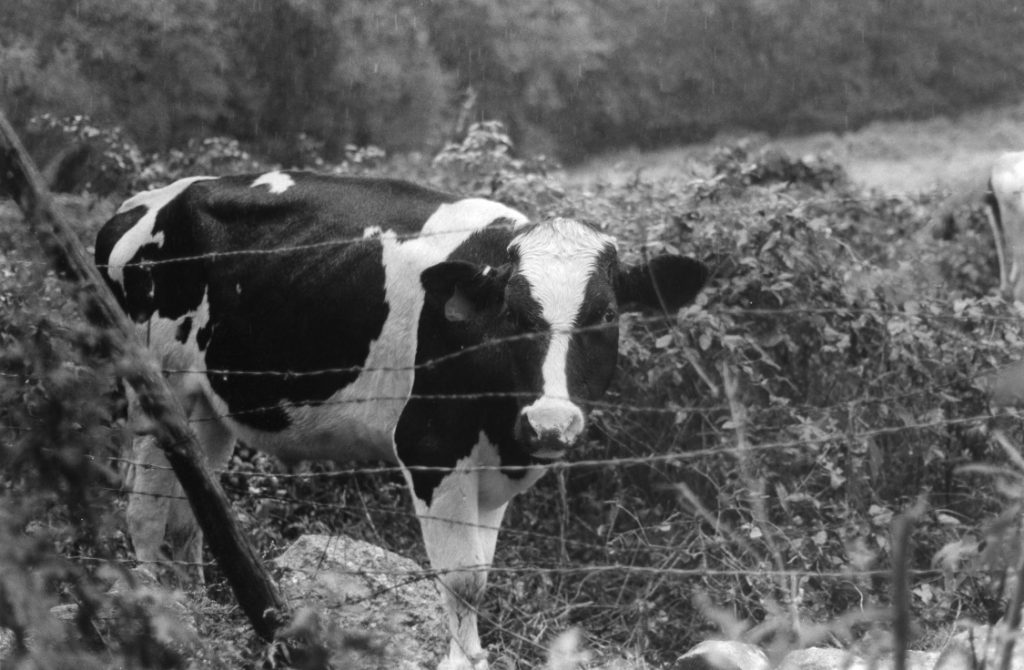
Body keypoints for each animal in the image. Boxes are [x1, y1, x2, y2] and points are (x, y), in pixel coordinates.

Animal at [95, 171, 709, 670]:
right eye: (514, 314)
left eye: (606, 315)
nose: (551, 423)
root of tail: (144, 201)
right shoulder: (430, 445)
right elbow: (464, 577)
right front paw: (462, 661)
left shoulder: (497, 462)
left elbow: (482, 568)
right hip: (155, 385)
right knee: (146, 509)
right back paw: (158, 611)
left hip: (209, 405)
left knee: (193, 511)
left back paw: (197, 604)